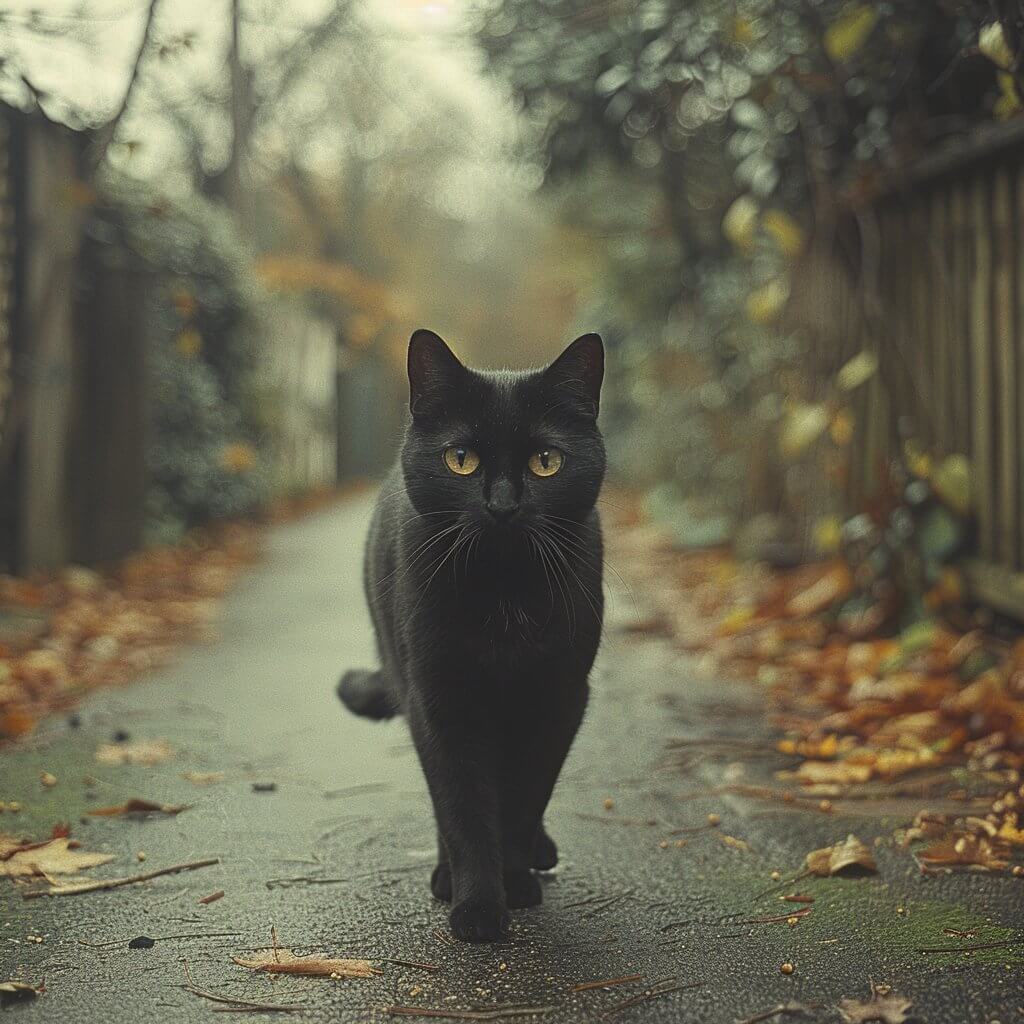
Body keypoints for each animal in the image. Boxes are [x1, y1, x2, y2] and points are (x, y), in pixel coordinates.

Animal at [339, 329, 602, 942]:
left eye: (546, 462)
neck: (503, 600)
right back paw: (445, 875)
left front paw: (515, 882)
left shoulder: (561, 696)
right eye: (461, 460)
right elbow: (462, 804)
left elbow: (526, 796)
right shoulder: (440, 699)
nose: (503, 504)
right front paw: (478, 907)